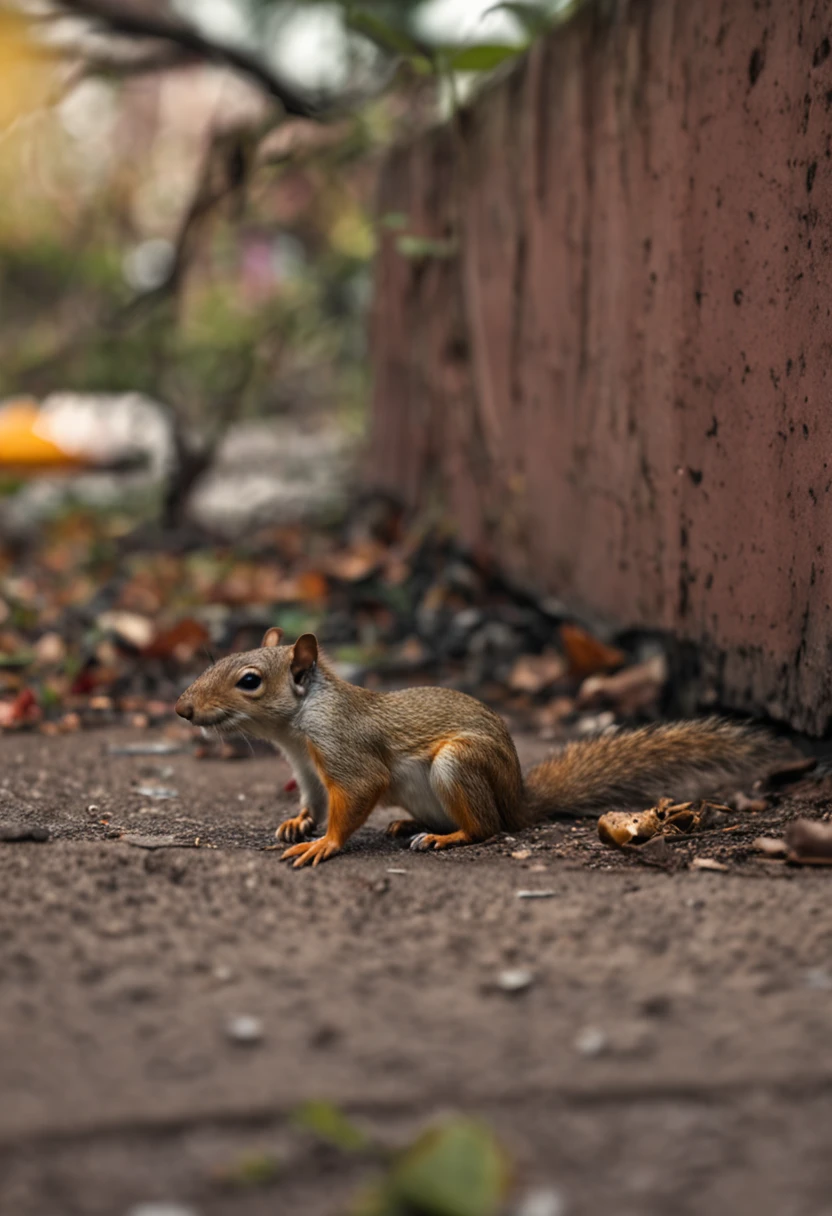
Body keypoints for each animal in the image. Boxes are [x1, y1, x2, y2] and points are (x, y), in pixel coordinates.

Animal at [175, 632, 788, 870]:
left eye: (249, 681)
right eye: (219, 660)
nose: (183, 708)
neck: (296, 729)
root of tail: (517, 800)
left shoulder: (345, 751)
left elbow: (354, 798)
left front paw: (323, 844)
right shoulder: (307, 767)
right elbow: (315, 800)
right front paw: (297, 822)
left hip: (459, 764)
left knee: (488, 829)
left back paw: (447, 837)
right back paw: (408, 825)